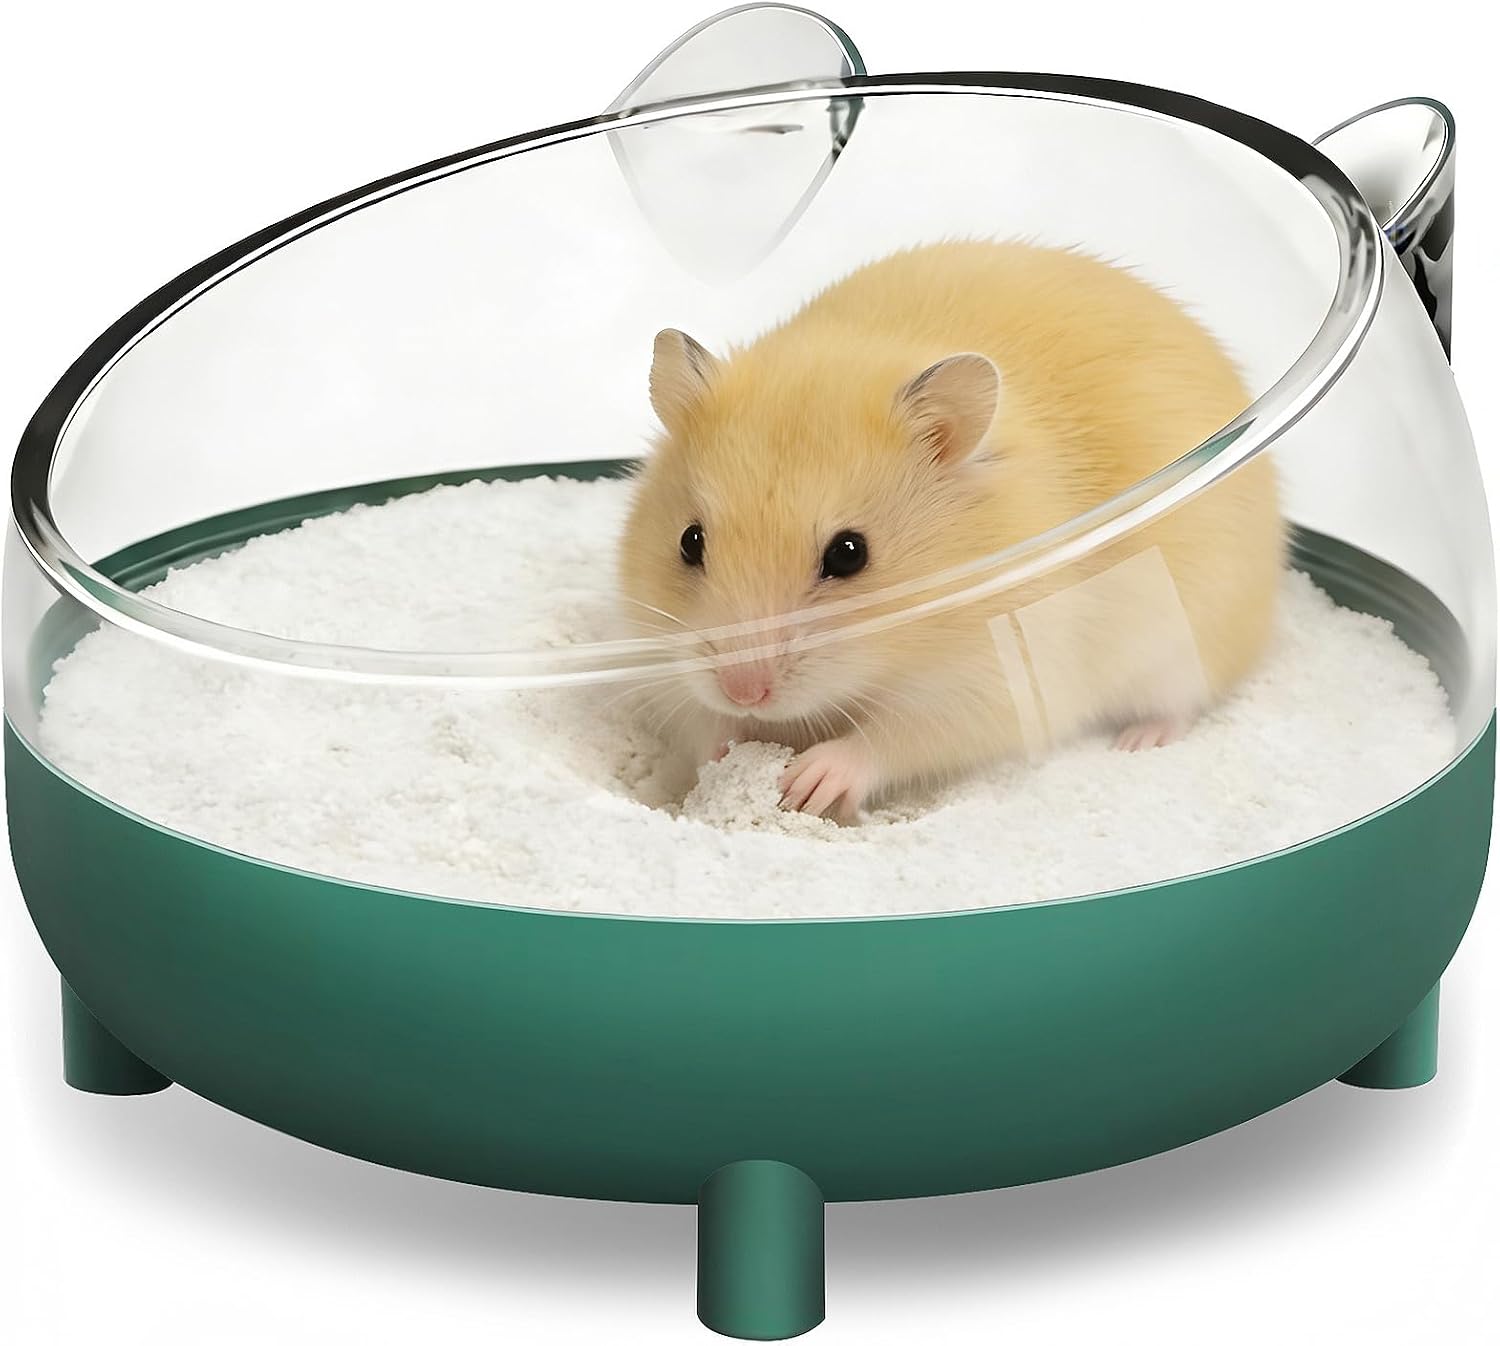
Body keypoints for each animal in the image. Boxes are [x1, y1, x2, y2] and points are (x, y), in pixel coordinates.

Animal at [619, 241, 1282, 822]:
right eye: (690, 542)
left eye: (850, 553)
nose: (742, 693)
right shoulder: (661, 658)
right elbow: (700, 722)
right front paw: (727, 748)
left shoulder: (991, 682)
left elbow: (893, 739)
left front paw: (811, 779)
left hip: (1186, 646)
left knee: (1180, 704)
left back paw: (1138, 741)